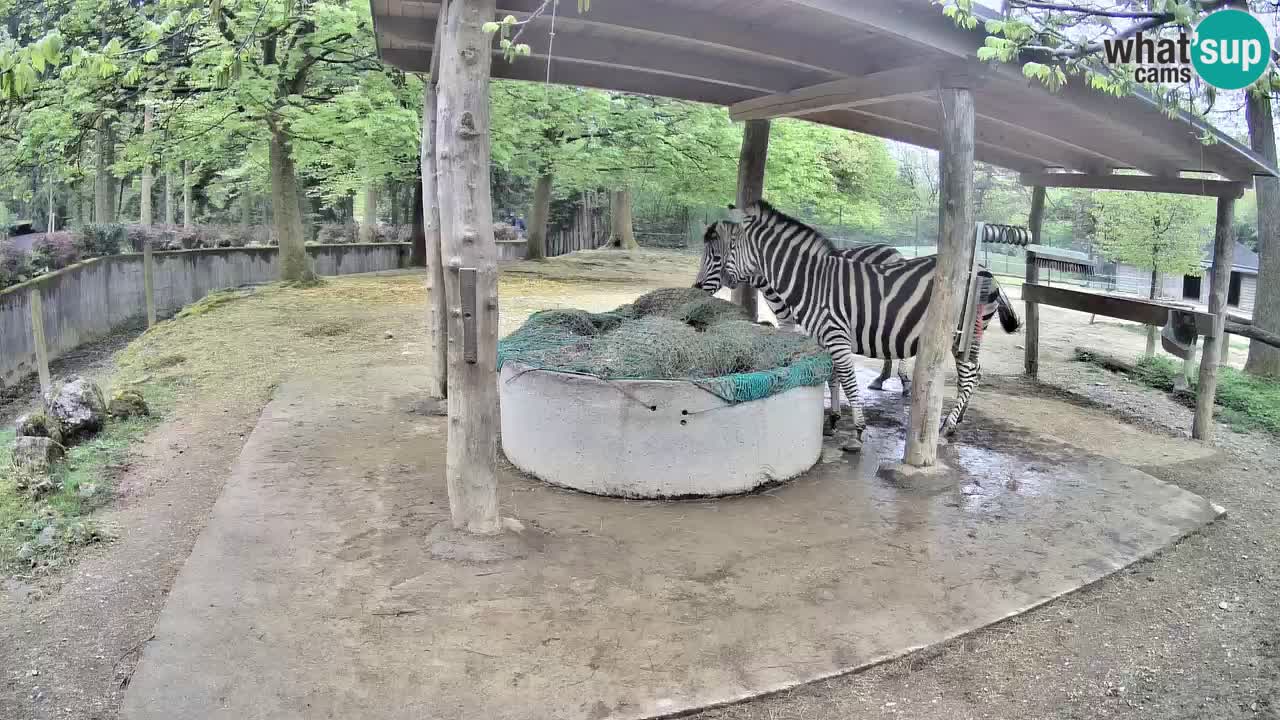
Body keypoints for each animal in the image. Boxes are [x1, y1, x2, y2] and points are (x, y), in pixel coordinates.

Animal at [694, 221, 910, 415]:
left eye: (716, 257)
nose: (695, 288)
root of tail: (894, 251)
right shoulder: (787, 322)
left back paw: (903, 382)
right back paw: (882, 380)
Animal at [719, 201, 1021, 446]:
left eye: (731, 247)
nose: (723, 279)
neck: (812, 282)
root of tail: (987, 271)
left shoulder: (835, 334)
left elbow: (849, 380)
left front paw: (858, 431)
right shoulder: (824, 338)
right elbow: (832, 377)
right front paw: (832, 421)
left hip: (963, 335)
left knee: (970, 376)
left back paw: (947, 426)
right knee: (974, 374)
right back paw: (956, 421)